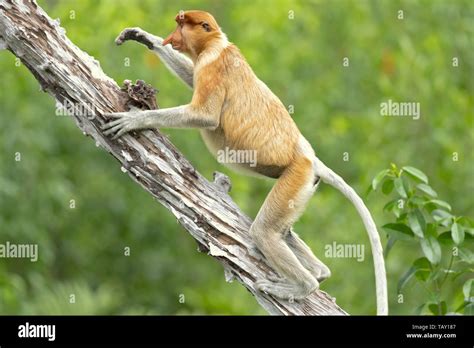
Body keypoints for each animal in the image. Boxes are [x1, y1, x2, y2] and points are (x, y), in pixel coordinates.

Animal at [102, 10, 386, 316]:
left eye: (182, 25)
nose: (172, 37)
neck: (217, 44)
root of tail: (310, 157)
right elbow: (192, 78)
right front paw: (144, 37)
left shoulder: (212, 66)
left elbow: (204, 115)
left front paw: (134, 119)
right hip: (304, 184)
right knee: (284, 231)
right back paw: (319, 272)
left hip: (295, 175)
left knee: (264, 231)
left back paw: (303, 285)